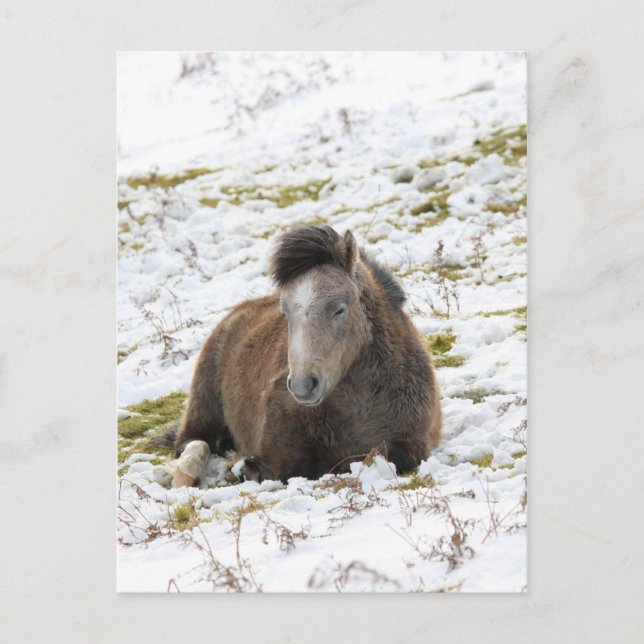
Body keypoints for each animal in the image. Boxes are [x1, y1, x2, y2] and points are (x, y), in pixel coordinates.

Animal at [169, 225, 442, 487]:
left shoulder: (414, 440)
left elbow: (385, 455)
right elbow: (292, 467)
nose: (302, 386)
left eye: (339, 309)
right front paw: (240, 467)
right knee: (195, 444)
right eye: (285, 312)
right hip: (202, 415)